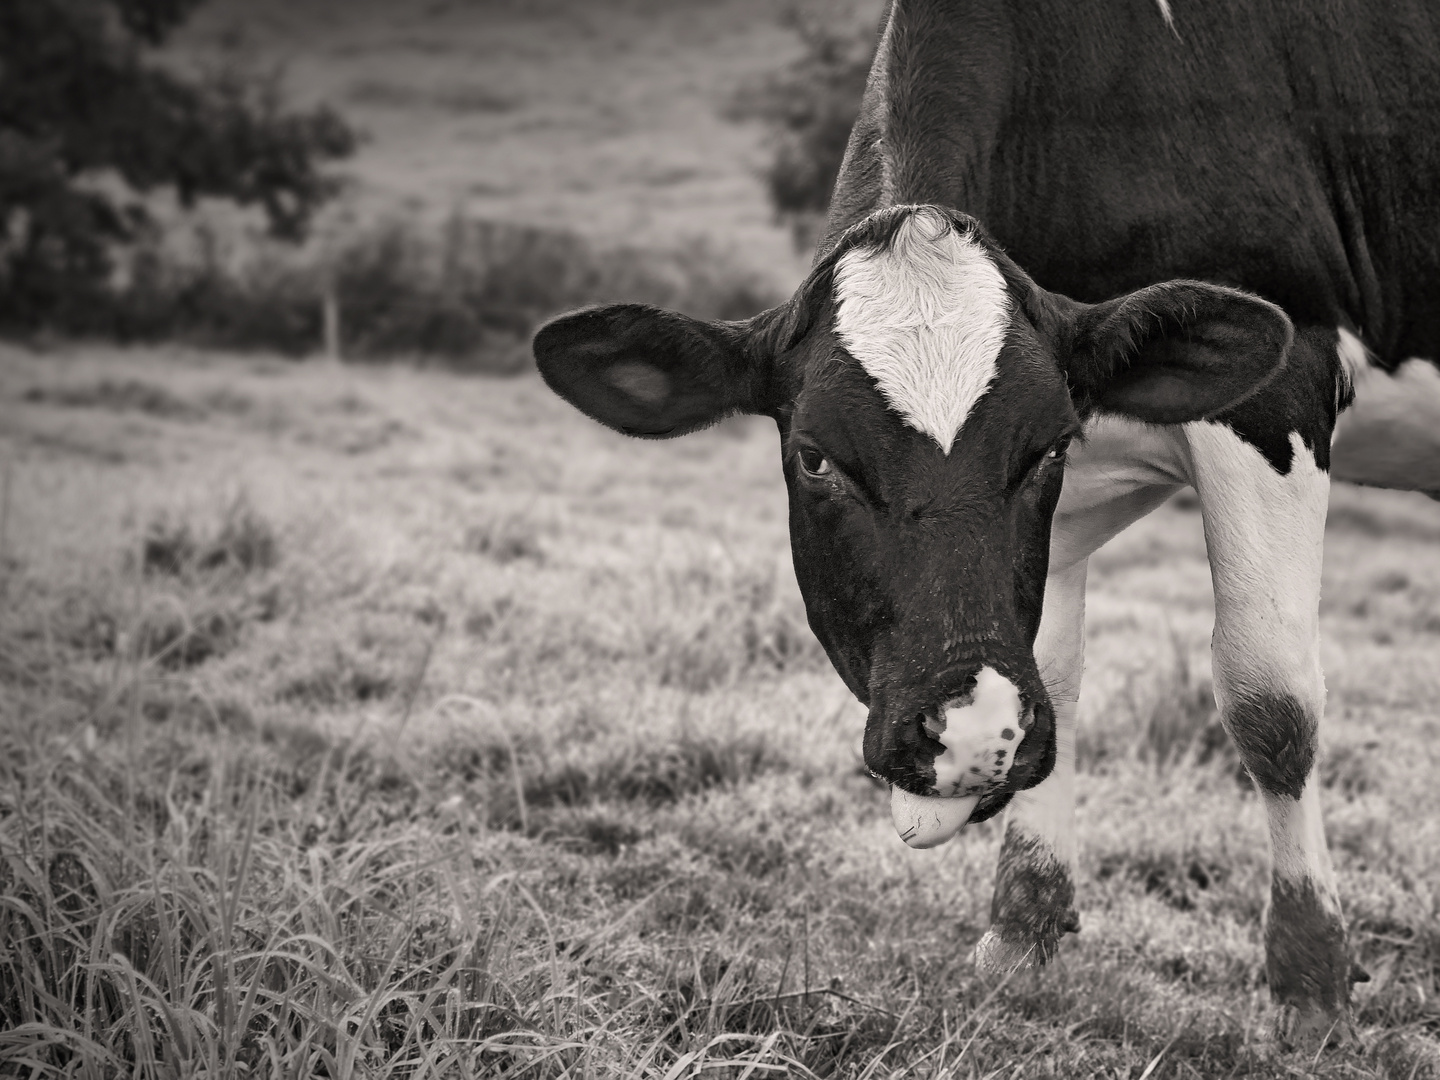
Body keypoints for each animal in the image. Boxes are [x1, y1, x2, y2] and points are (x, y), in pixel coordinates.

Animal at [532, 0, 1440, 1054]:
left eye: (1043, 448)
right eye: (815, 457)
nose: (969, 735)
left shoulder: (1280, 384)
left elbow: (1271, 701)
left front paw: (1312, 985)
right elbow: (1061, 670)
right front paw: (1022, 933)